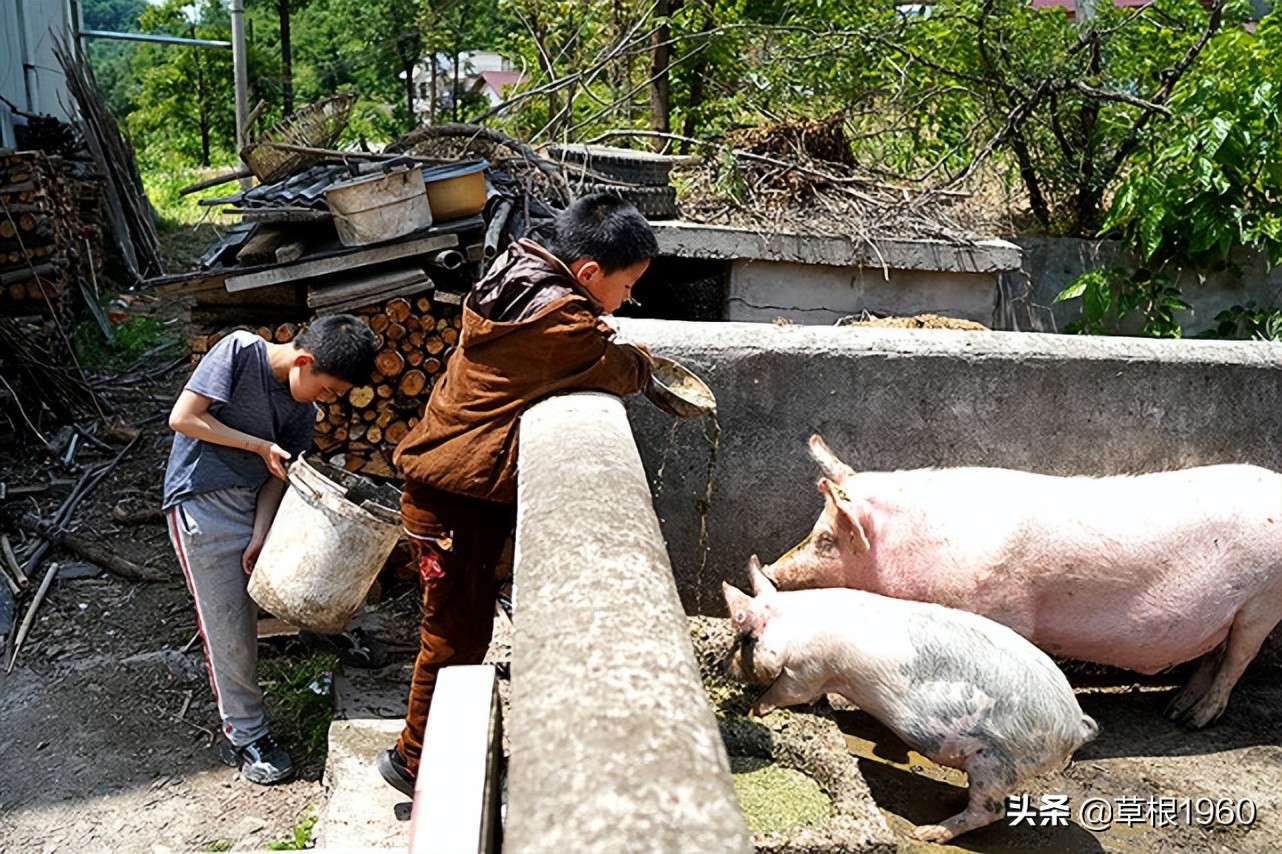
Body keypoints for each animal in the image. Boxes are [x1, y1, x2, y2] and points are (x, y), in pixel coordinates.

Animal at [758, 435, 1282, 728]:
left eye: (827, 538)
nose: (771, 571)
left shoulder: (1002, 610)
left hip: (1263, 601)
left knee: (1237, 659)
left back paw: (1193, 723)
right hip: (1230, 610)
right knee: (1212, 656)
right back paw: (1173, 709)